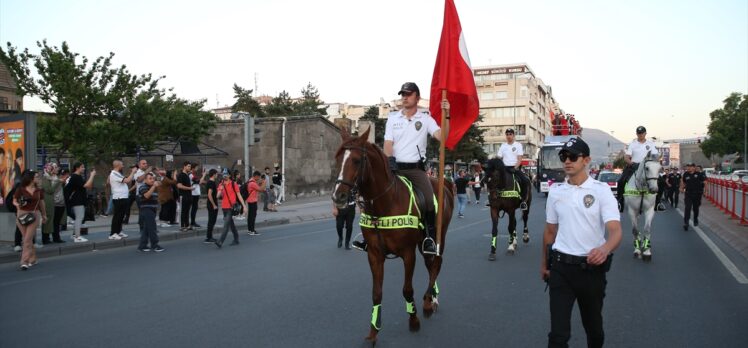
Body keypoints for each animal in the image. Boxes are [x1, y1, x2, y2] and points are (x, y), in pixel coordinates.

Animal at [334, 127, 456, 342]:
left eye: (356, 160)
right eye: (339, 158)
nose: (338, 196)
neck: (385, 203)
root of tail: (444, 184)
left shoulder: (408, 254)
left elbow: (407, 290)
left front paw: (413, 321)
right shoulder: (374, 255)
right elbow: (376, 293)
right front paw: (373, 332)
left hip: (438, 235)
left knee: (436, 264)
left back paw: (428, 302)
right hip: (423, 243)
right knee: (431, 264)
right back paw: (431, 298)